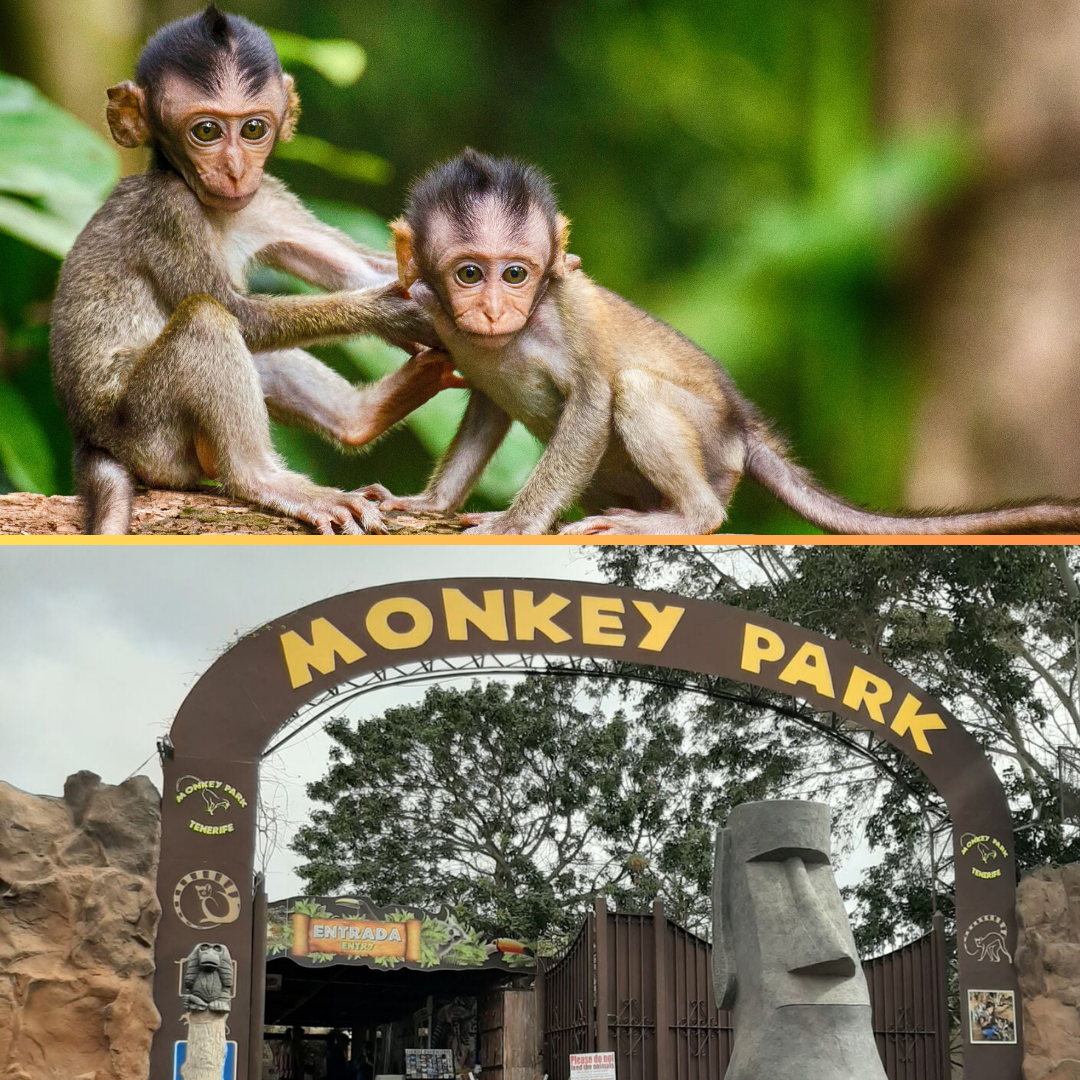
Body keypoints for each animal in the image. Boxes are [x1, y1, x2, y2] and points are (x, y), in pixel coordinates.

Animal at [50, 5, 459, 536]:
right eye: (206, 131)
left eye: (252, 130)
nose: (235, 169)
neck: (212, 207)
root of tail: (90, 438)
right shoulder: (168, 210)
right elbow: (238, 312)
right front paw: (388, 312)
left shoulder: (267, 197)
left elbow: (356, 268)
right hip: (149, 435)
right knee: (207, 319)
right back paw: (263, 479)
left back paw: (361, 418)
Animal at [361, 149, 1080, 535]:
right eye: (469, 274)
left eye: (516, 273)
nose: (492, 309)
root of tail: (742, 427)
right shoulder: (438, 316)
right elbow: (486, 406)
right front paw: (429, 503)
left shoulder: (565, 312)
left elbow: (593, 400)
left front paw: (517, 523)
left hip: (713, 448)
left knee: (636, 392)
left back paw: (690, 517)